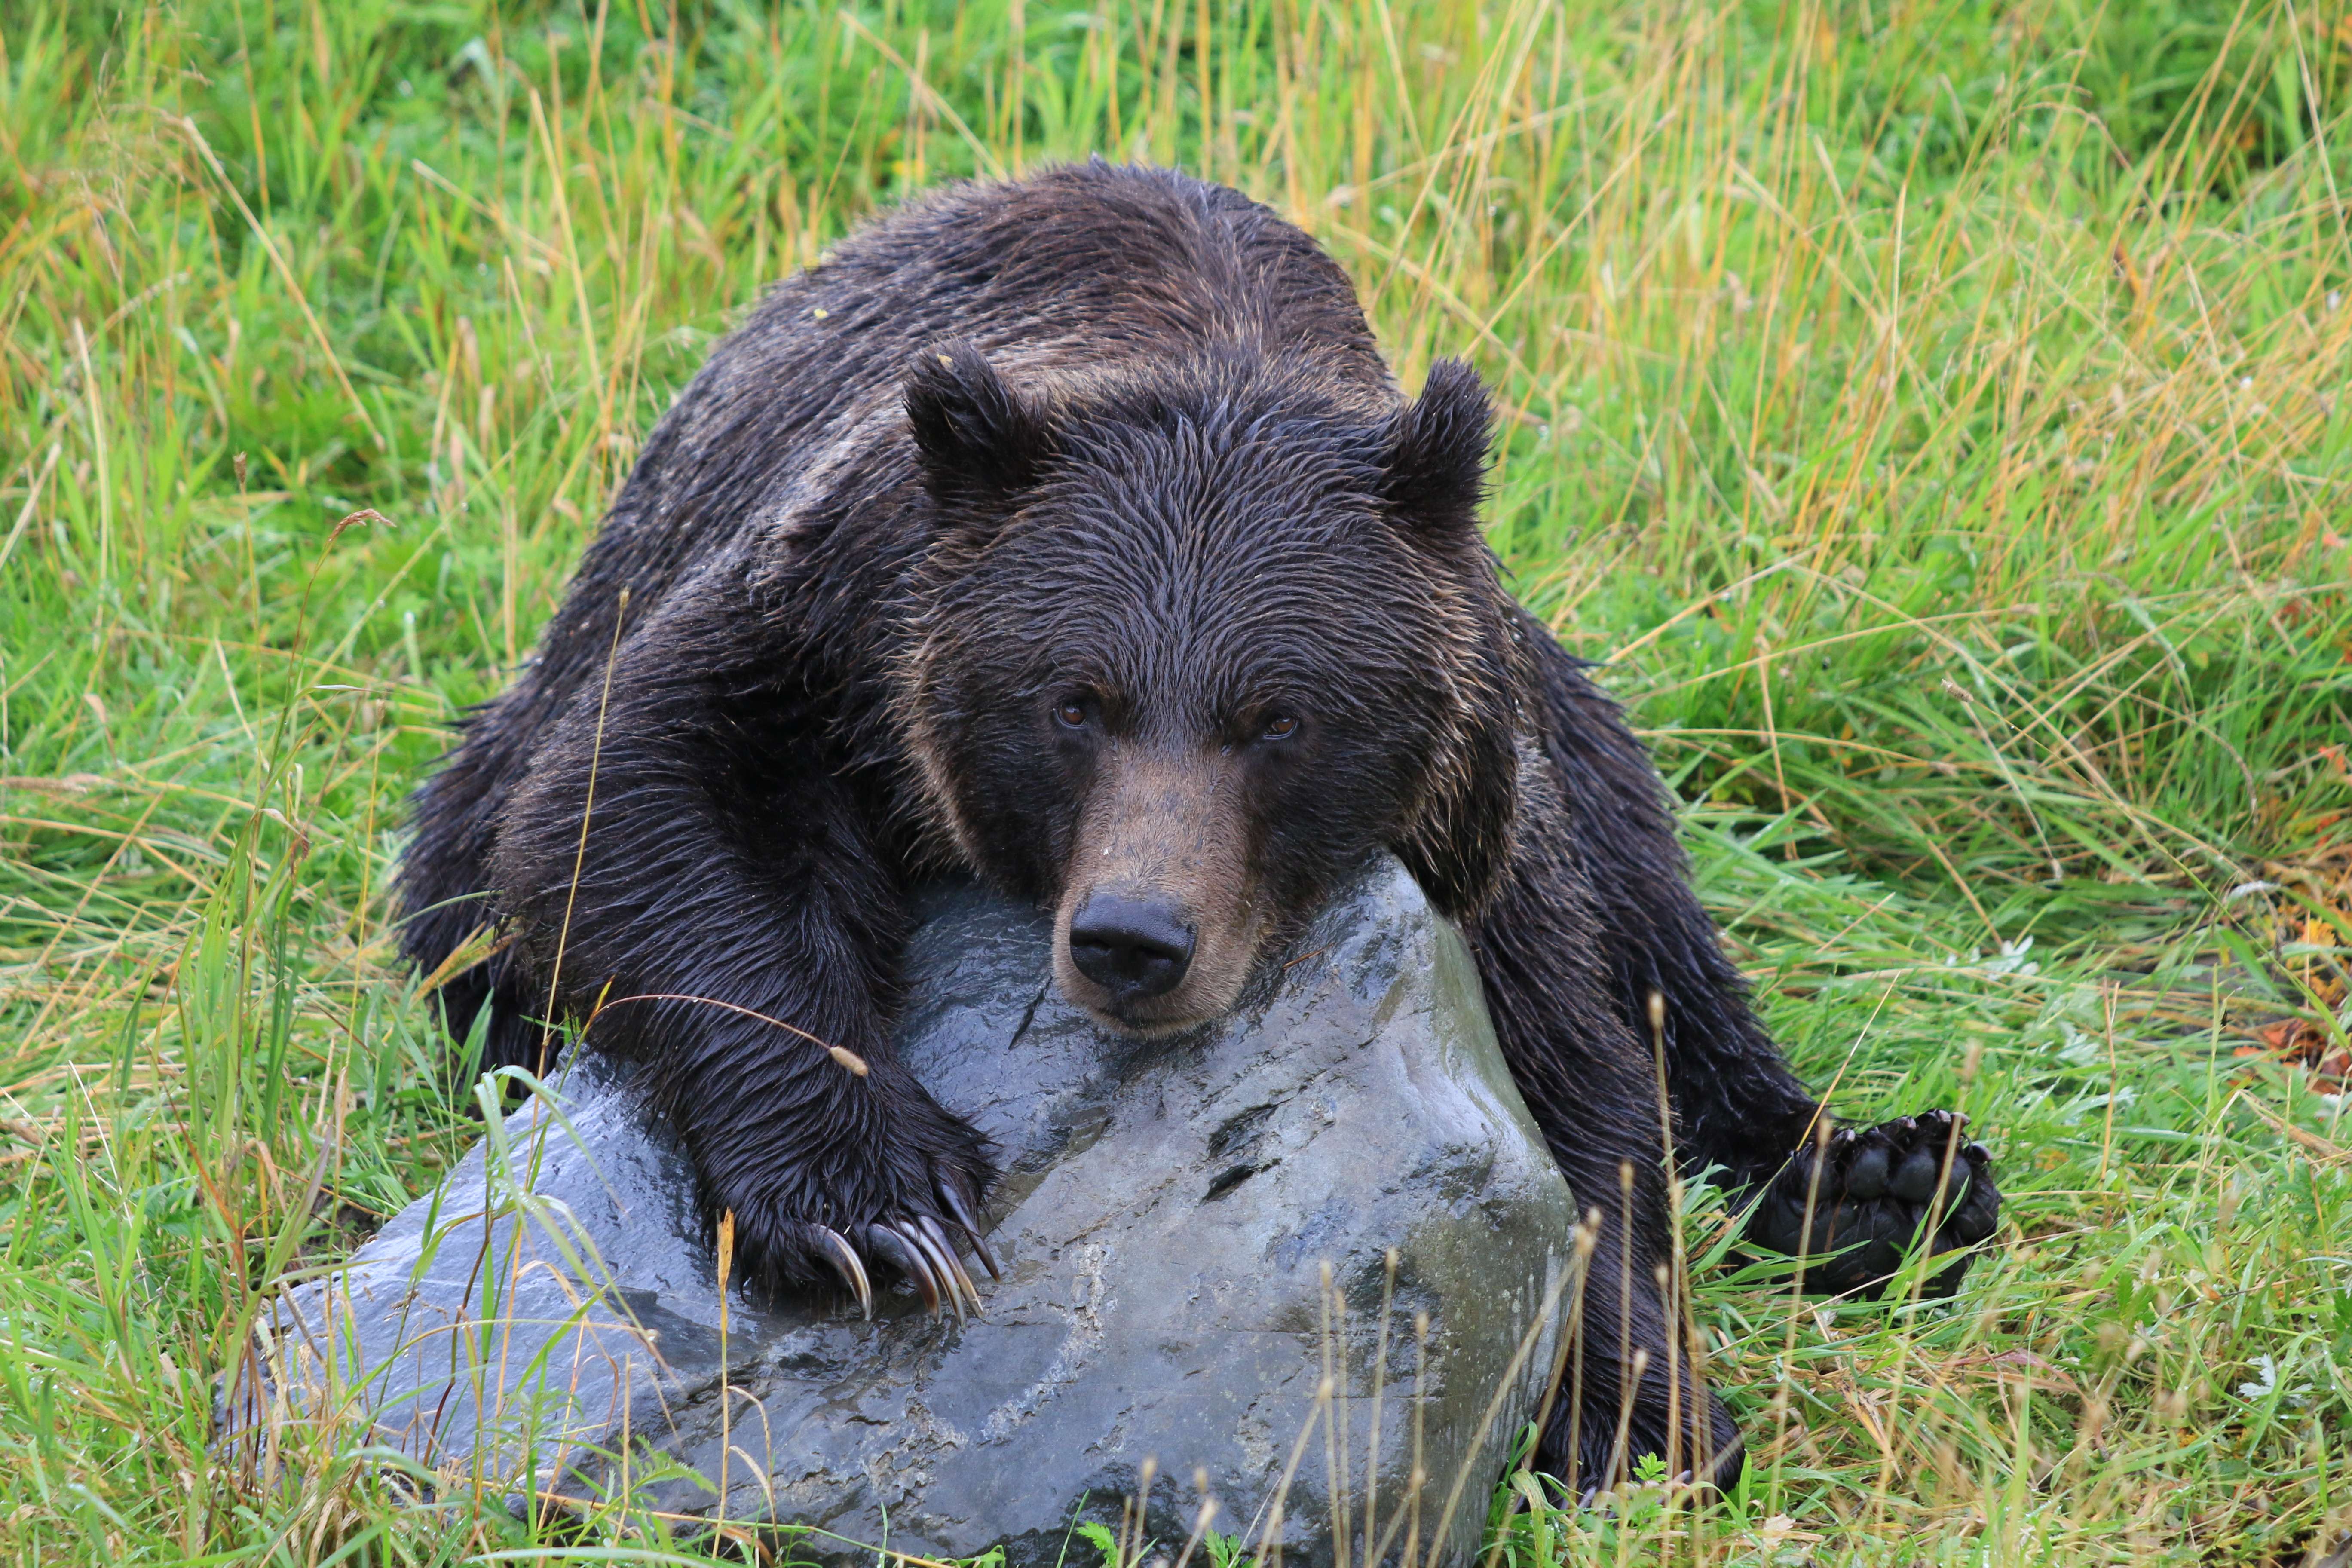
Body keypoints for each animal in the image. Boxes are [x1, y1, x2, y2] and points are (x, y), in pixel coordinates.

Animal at [398, 160, 1999, 1498]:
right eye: (1077, 700)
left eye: (1277, 718)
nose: (1134, 937)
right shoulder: (827, 616)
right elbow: (637, 802)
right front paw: (880, 1209)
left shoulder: (1478, 818)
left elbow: (1581, 1078)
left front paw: (1630, 1409)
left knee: (1667, 921)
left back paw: (1889, 1178)